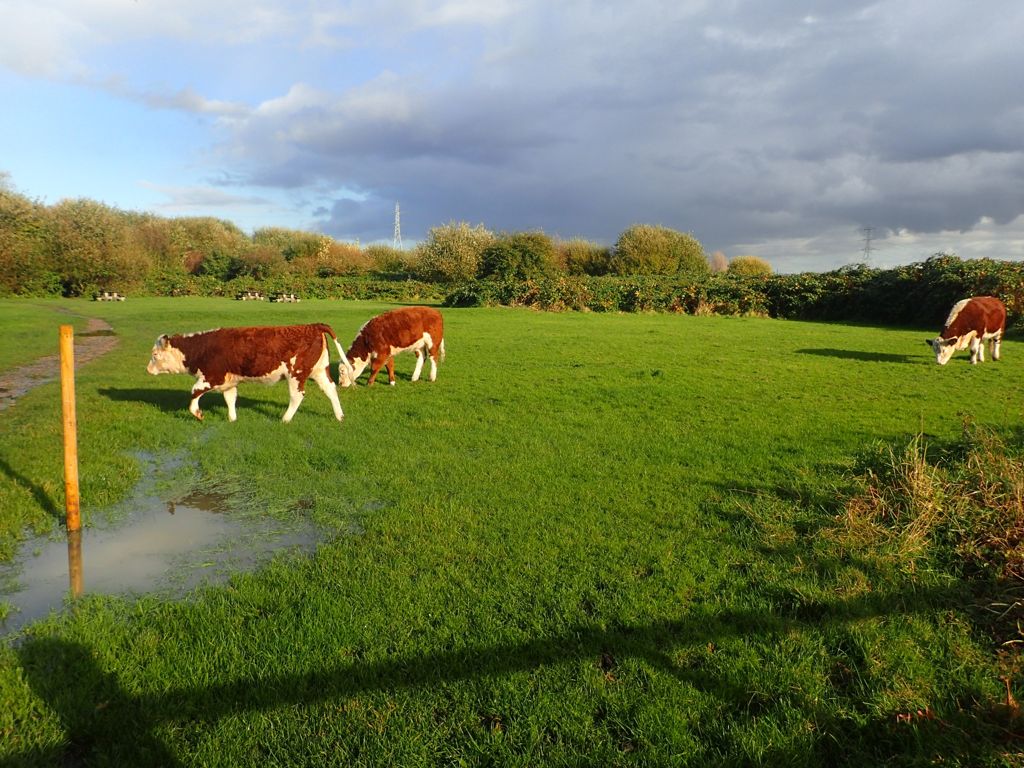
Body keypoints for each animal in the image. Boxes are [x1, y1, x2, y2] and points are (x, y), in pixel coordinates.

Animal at [142, 323, 354, 423]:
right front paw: (232, 419)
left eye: (154, 354)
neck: (201, 348)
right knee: (331, 389)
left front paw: (198, 414)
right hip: (319, 371)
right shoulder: (228, 381)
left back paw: (285, 419)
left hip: (296, 373)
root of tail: (312, 325)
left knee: (297, 396)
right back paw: (340, 416)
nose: (148, 369)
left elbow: (194, 392)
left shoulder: (211, 377)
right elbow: (230, 399)